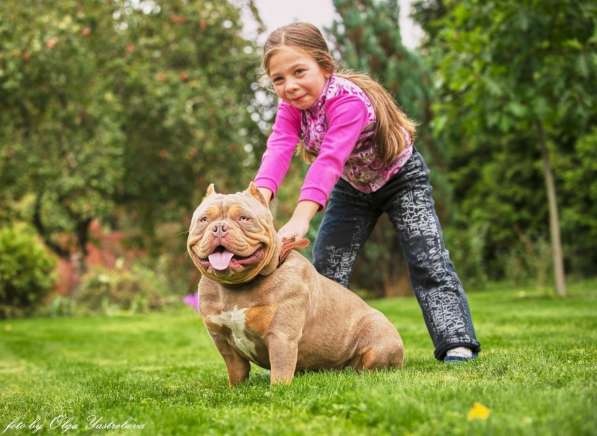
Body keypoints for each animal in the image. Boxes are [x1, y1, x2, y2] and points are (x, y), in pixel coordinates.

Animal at [187, 181, 406, 384]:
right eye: (204, 220)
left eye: (244, 219)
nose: (219, 228)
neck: (235, 286)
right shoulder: (223, 341)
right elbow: (236, 372)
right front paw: (236, 389)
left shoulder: (281, 336)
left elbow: (280, 370)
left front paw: (277, 390)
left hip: (378, 336)